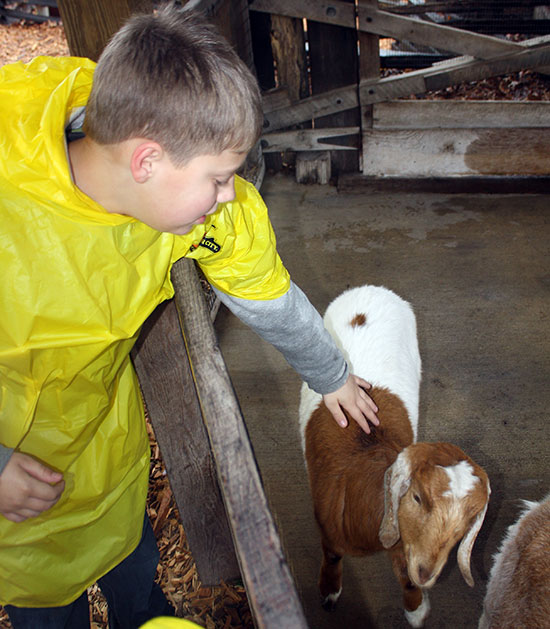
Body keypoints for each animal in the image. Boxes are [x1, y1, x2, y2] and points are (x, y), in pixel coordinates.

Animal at [302, 288, 492, 624]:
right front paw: (329, 592)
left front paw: (415, 610)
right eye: (416, 497)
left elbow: (404, 575)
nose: (427, 572)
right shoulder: (327, 524)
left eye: (472, 516)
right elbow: (332, 554)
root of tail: (370, 289)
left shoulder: (404, 542)